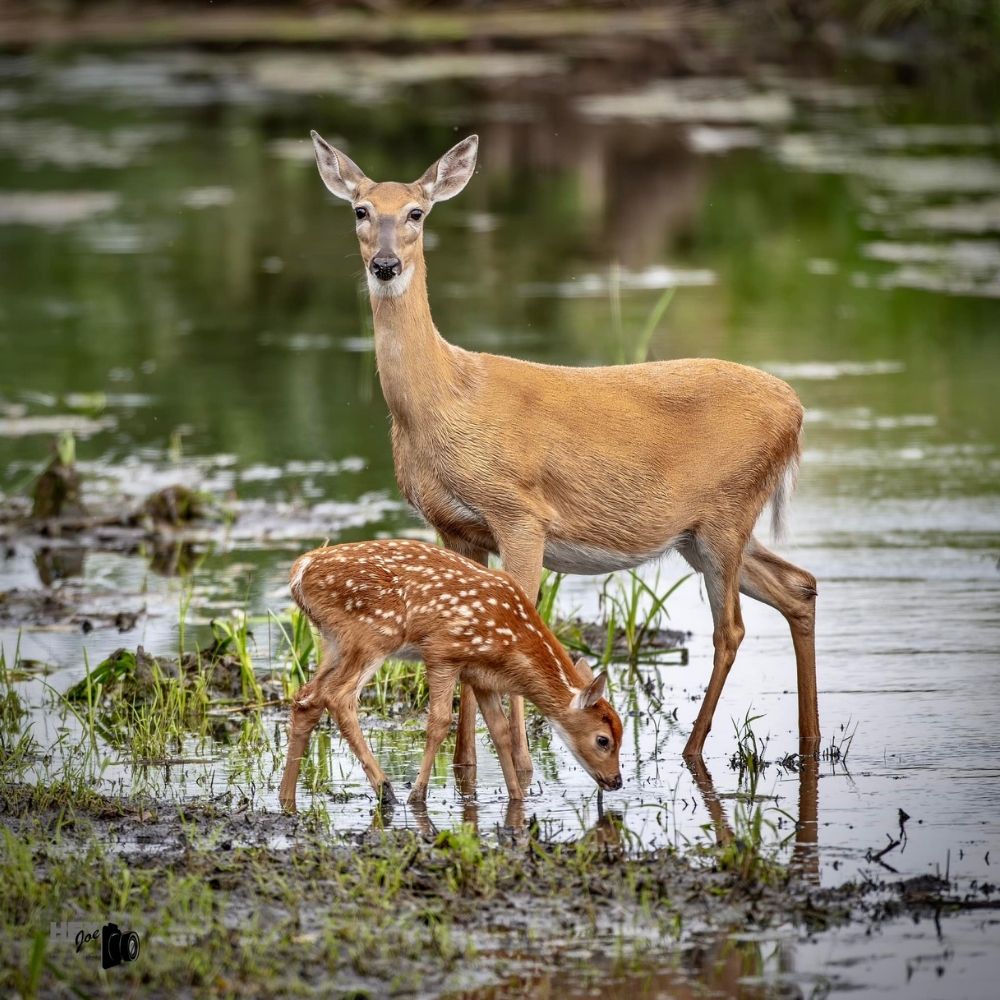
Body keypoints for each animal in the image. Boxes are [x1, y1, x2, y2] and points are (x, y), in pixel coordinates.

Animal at [278, 538, 624, 812]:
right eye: (603, 740)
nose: (616, 781)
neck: (510, 639)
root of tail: (299, 571)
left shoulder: (480, 677)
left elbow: (500, 732)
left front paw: (517, 797)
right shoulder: (442, 653)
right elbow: (440, 723)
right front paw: (417, 796)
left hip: (334, 641)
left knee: (307, 697)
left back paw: (286, 800)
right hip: (374, 635)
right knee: (339, 697)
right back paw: (386, 791)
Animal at [307, 130, 820, 781]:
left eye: (417, 212)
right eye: (361, 209)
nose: (385, 264)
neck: (445, 398)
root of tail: (795, 409)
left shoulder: (520, 514)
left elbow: (522, 619)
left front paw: (521, 769)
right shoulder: (456, 528)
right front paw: (465, 771)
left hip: (728, 513)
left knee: (729, 628)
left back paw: (694, 749)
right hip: (700, 532)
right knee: (799, 586)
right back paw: (808, 743)